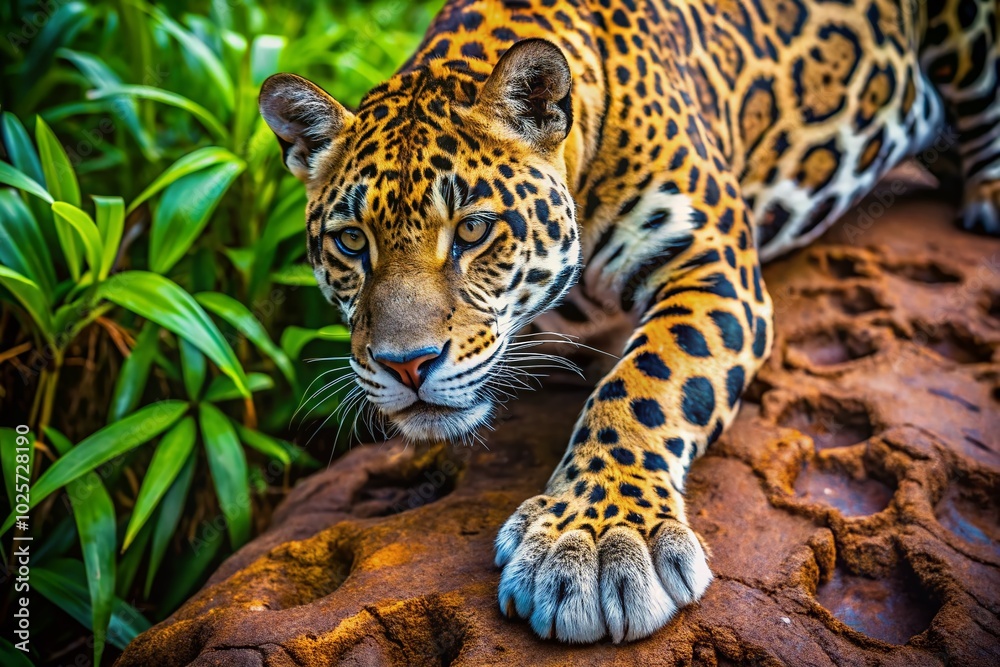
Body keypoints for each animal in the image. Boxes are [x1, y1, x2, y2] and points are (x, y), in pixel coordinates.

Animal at [259, 0, 999, 644]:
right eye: (351, 242)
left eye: (472, 229)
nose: (405, 365)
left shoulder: (713, 261)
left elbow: (645, 381)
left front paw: (595, 539)